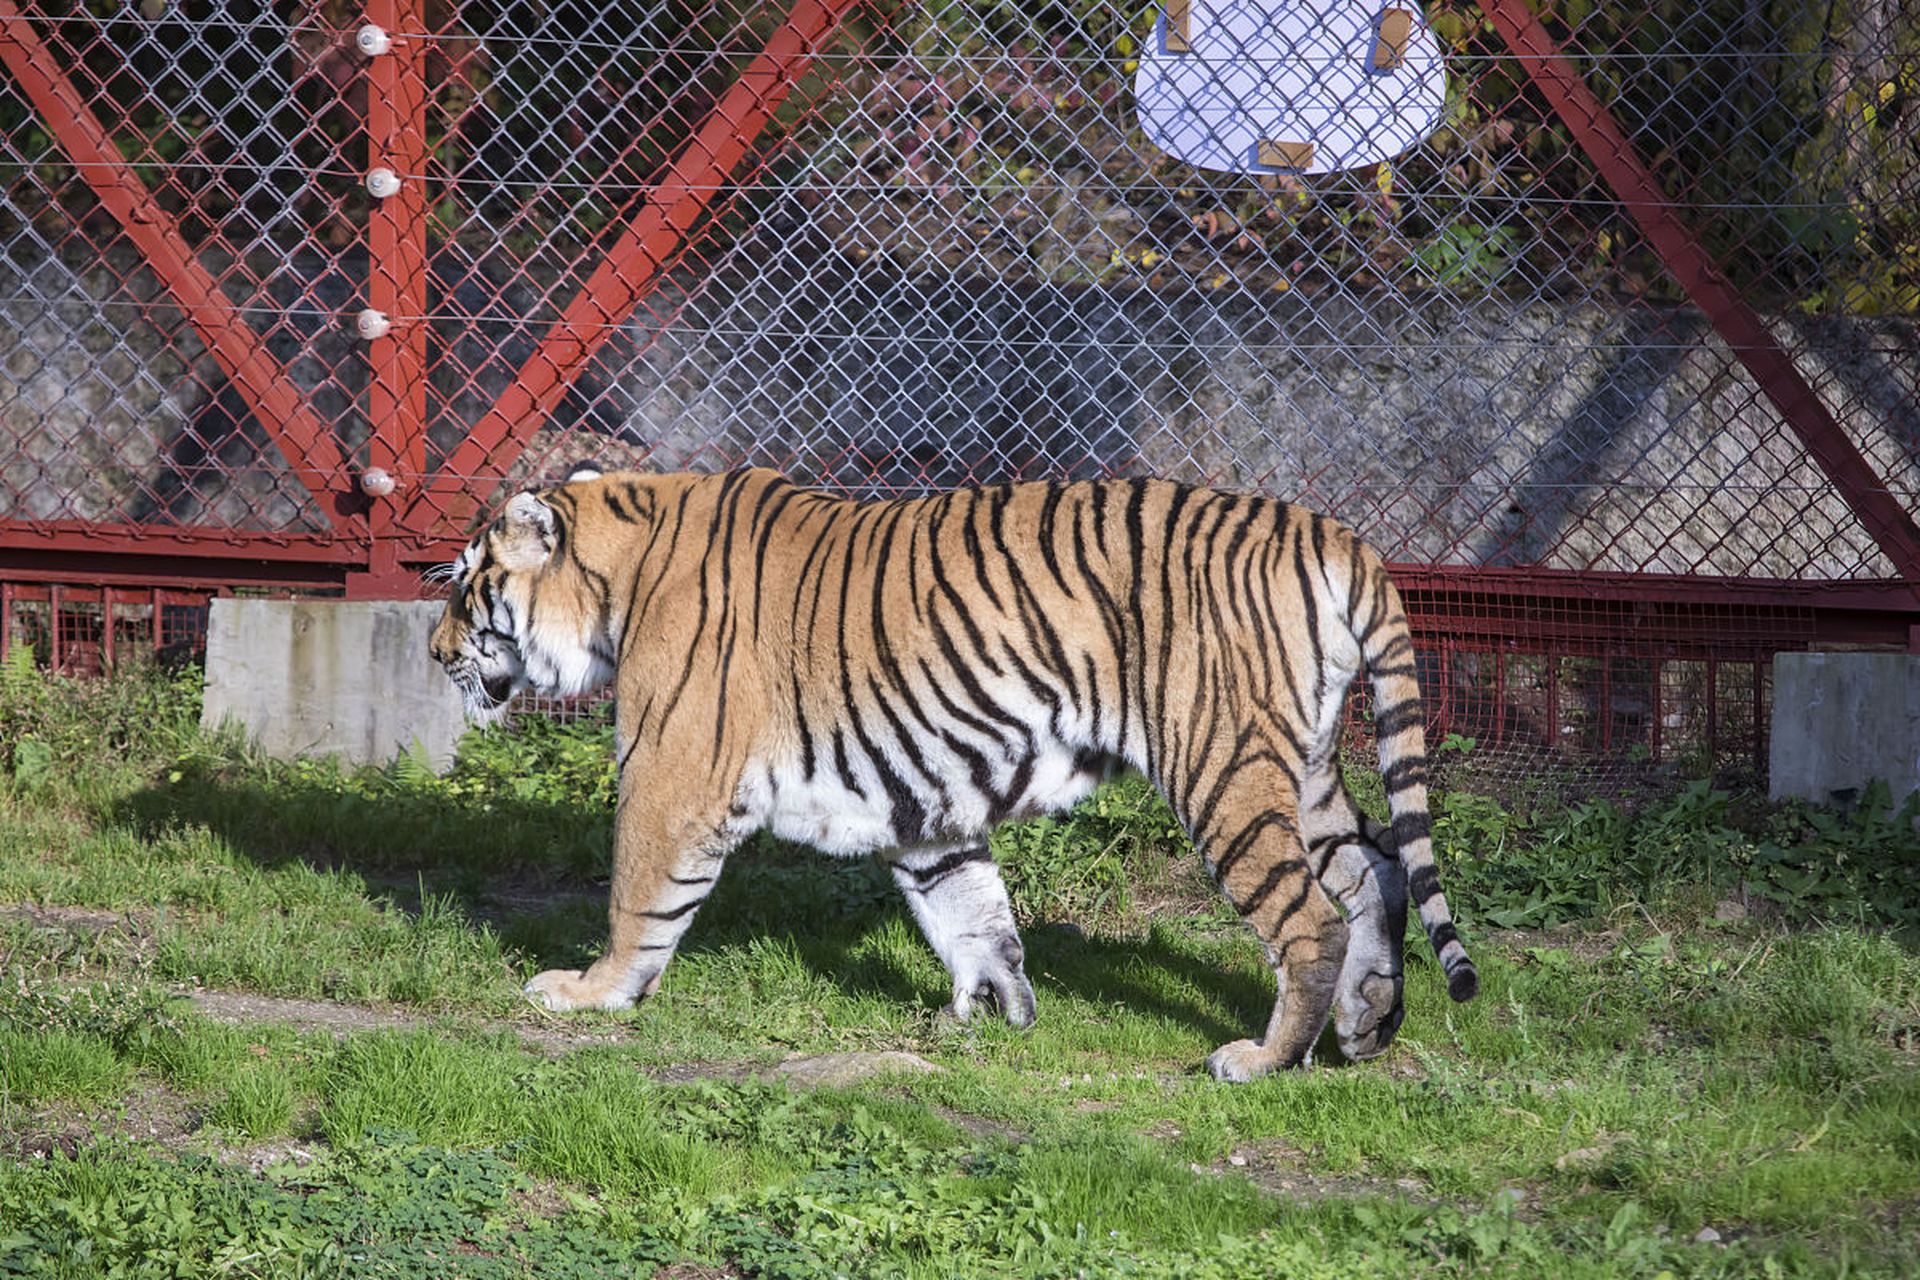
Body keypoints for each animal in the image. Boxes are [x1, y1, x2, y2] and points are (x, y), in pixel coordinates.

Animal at [428, 465, 1477, 1081]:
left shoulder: (670, 775)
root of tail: (1332, 532)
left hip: (1220, 763)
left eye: (467, 583)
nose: (434, 653)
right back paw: (1369, 1026)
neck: (616, 575)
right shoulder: (918, 793)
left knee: (1309, 918)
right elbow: (968, 910)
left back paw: (1261, 1060)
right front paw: (994, 1010)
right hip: (1301, 766)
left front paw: (589, 993)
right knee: (1378, 867)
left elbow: (637, 899)